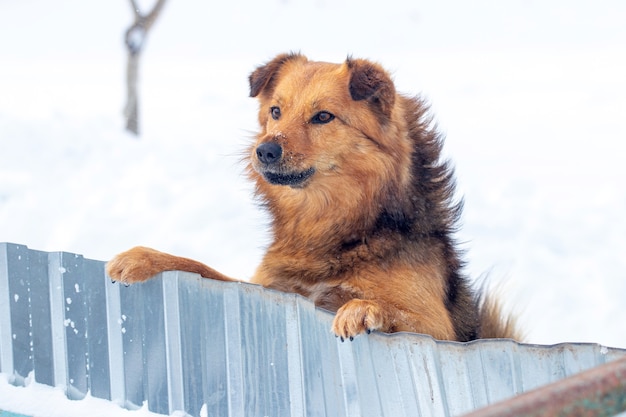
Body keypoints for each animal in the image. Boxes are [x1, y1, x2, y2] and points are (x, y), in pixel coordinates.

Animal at [107, 52, 516, 342]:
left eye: (322, 117)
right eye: (275, 111)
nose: (265, 151)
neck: (330, 229)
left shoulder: (438, 328)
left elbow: (396, 311)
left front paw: (364, 309)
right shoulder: (270, 289)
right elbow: (204, 269)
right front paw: (145, 257)